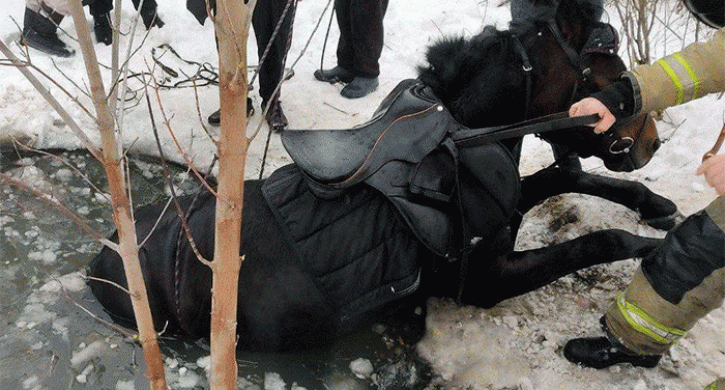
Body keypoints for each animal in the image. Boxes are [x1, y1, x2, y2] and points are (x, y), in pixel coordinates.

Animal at [90, 0, 672, 352]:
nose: (651, 141)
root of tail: (104, 258)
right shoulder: (485, 281)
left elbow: (563, 180)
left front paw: (656, 206)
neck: (462, 137)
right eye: (606, 72)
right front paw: (653, 252)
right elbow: (596, 240)